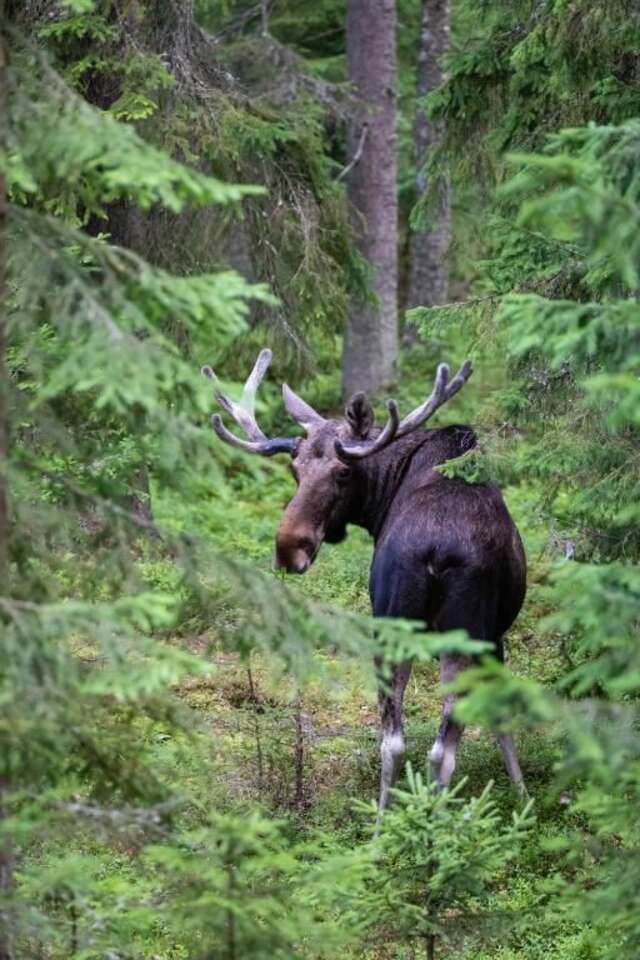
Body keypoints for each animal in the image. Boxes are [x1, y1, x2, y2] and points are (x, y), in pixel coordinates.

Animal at [202, 350, 528, 808]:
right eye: (295, 469)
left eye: (342, 472)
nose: (289, 548)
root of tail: (434, 551)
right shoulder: (494, 636)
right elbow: (501, 720)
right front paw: (522, 793)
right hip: (452, 631)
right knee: (438, 748)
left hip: (400, 626)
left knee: (395, 740)